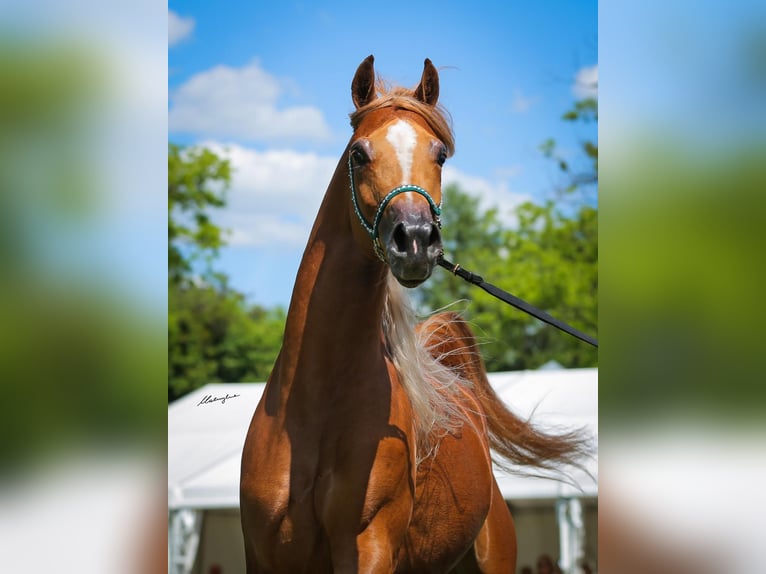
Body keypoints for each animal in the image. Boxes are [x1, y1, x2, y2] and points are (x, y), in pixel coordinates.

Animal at [242, 55, 588, 574]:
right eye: (359, 154)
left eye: (440, 154)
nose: (416, 239)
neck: (313, 407)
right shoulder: (264, 556)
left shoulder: (368, 546)